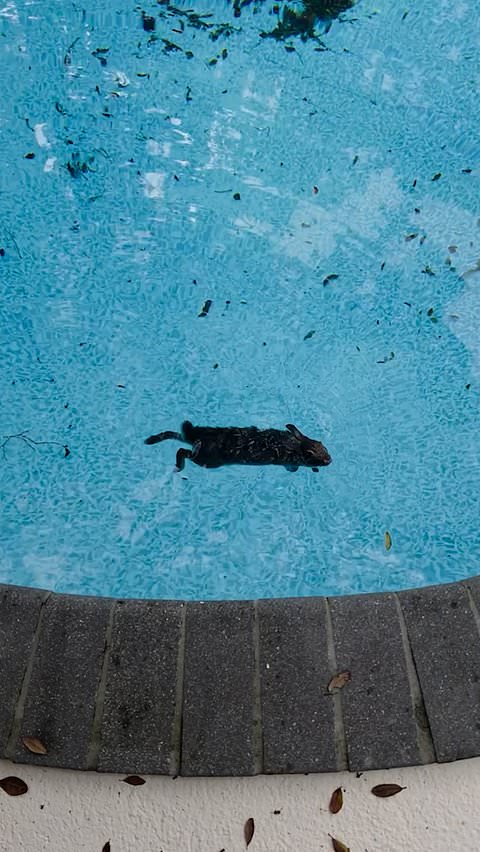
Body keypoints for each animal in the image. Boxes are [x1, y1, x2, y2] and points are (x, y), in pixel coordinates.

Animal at [144, 420, 331, 472]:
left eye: (326, 449)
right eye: (320, 459)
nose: (329, 460)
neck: (298, 445)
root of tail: (195, 436)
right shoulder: (291, 460)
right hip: (207, 460)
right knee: (183, 451)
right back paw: (178, 465)